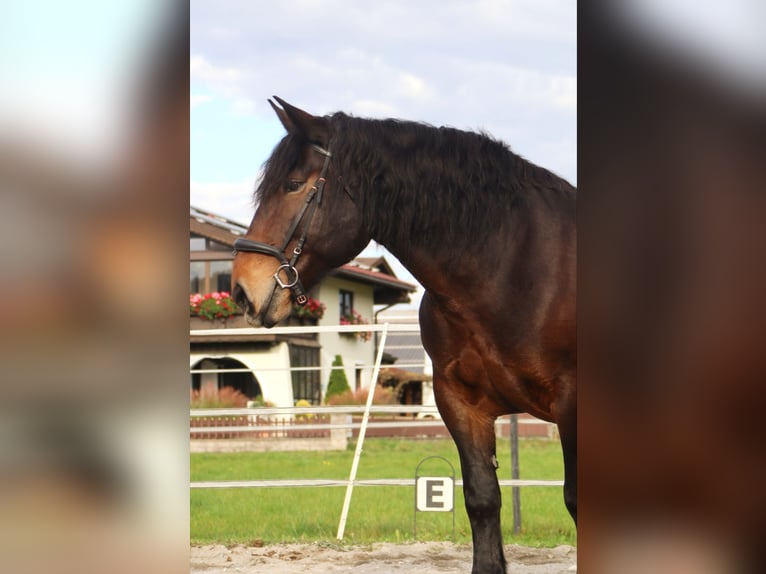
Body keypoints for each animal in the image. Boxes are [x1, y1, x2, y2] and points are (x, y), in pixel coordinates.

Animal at [231, 97, 580, 572]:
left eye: (293, 184)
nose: (241, 290)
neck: (512, 267)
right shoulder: (460, 403)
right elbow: (482, 499)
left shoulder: (573, 404)